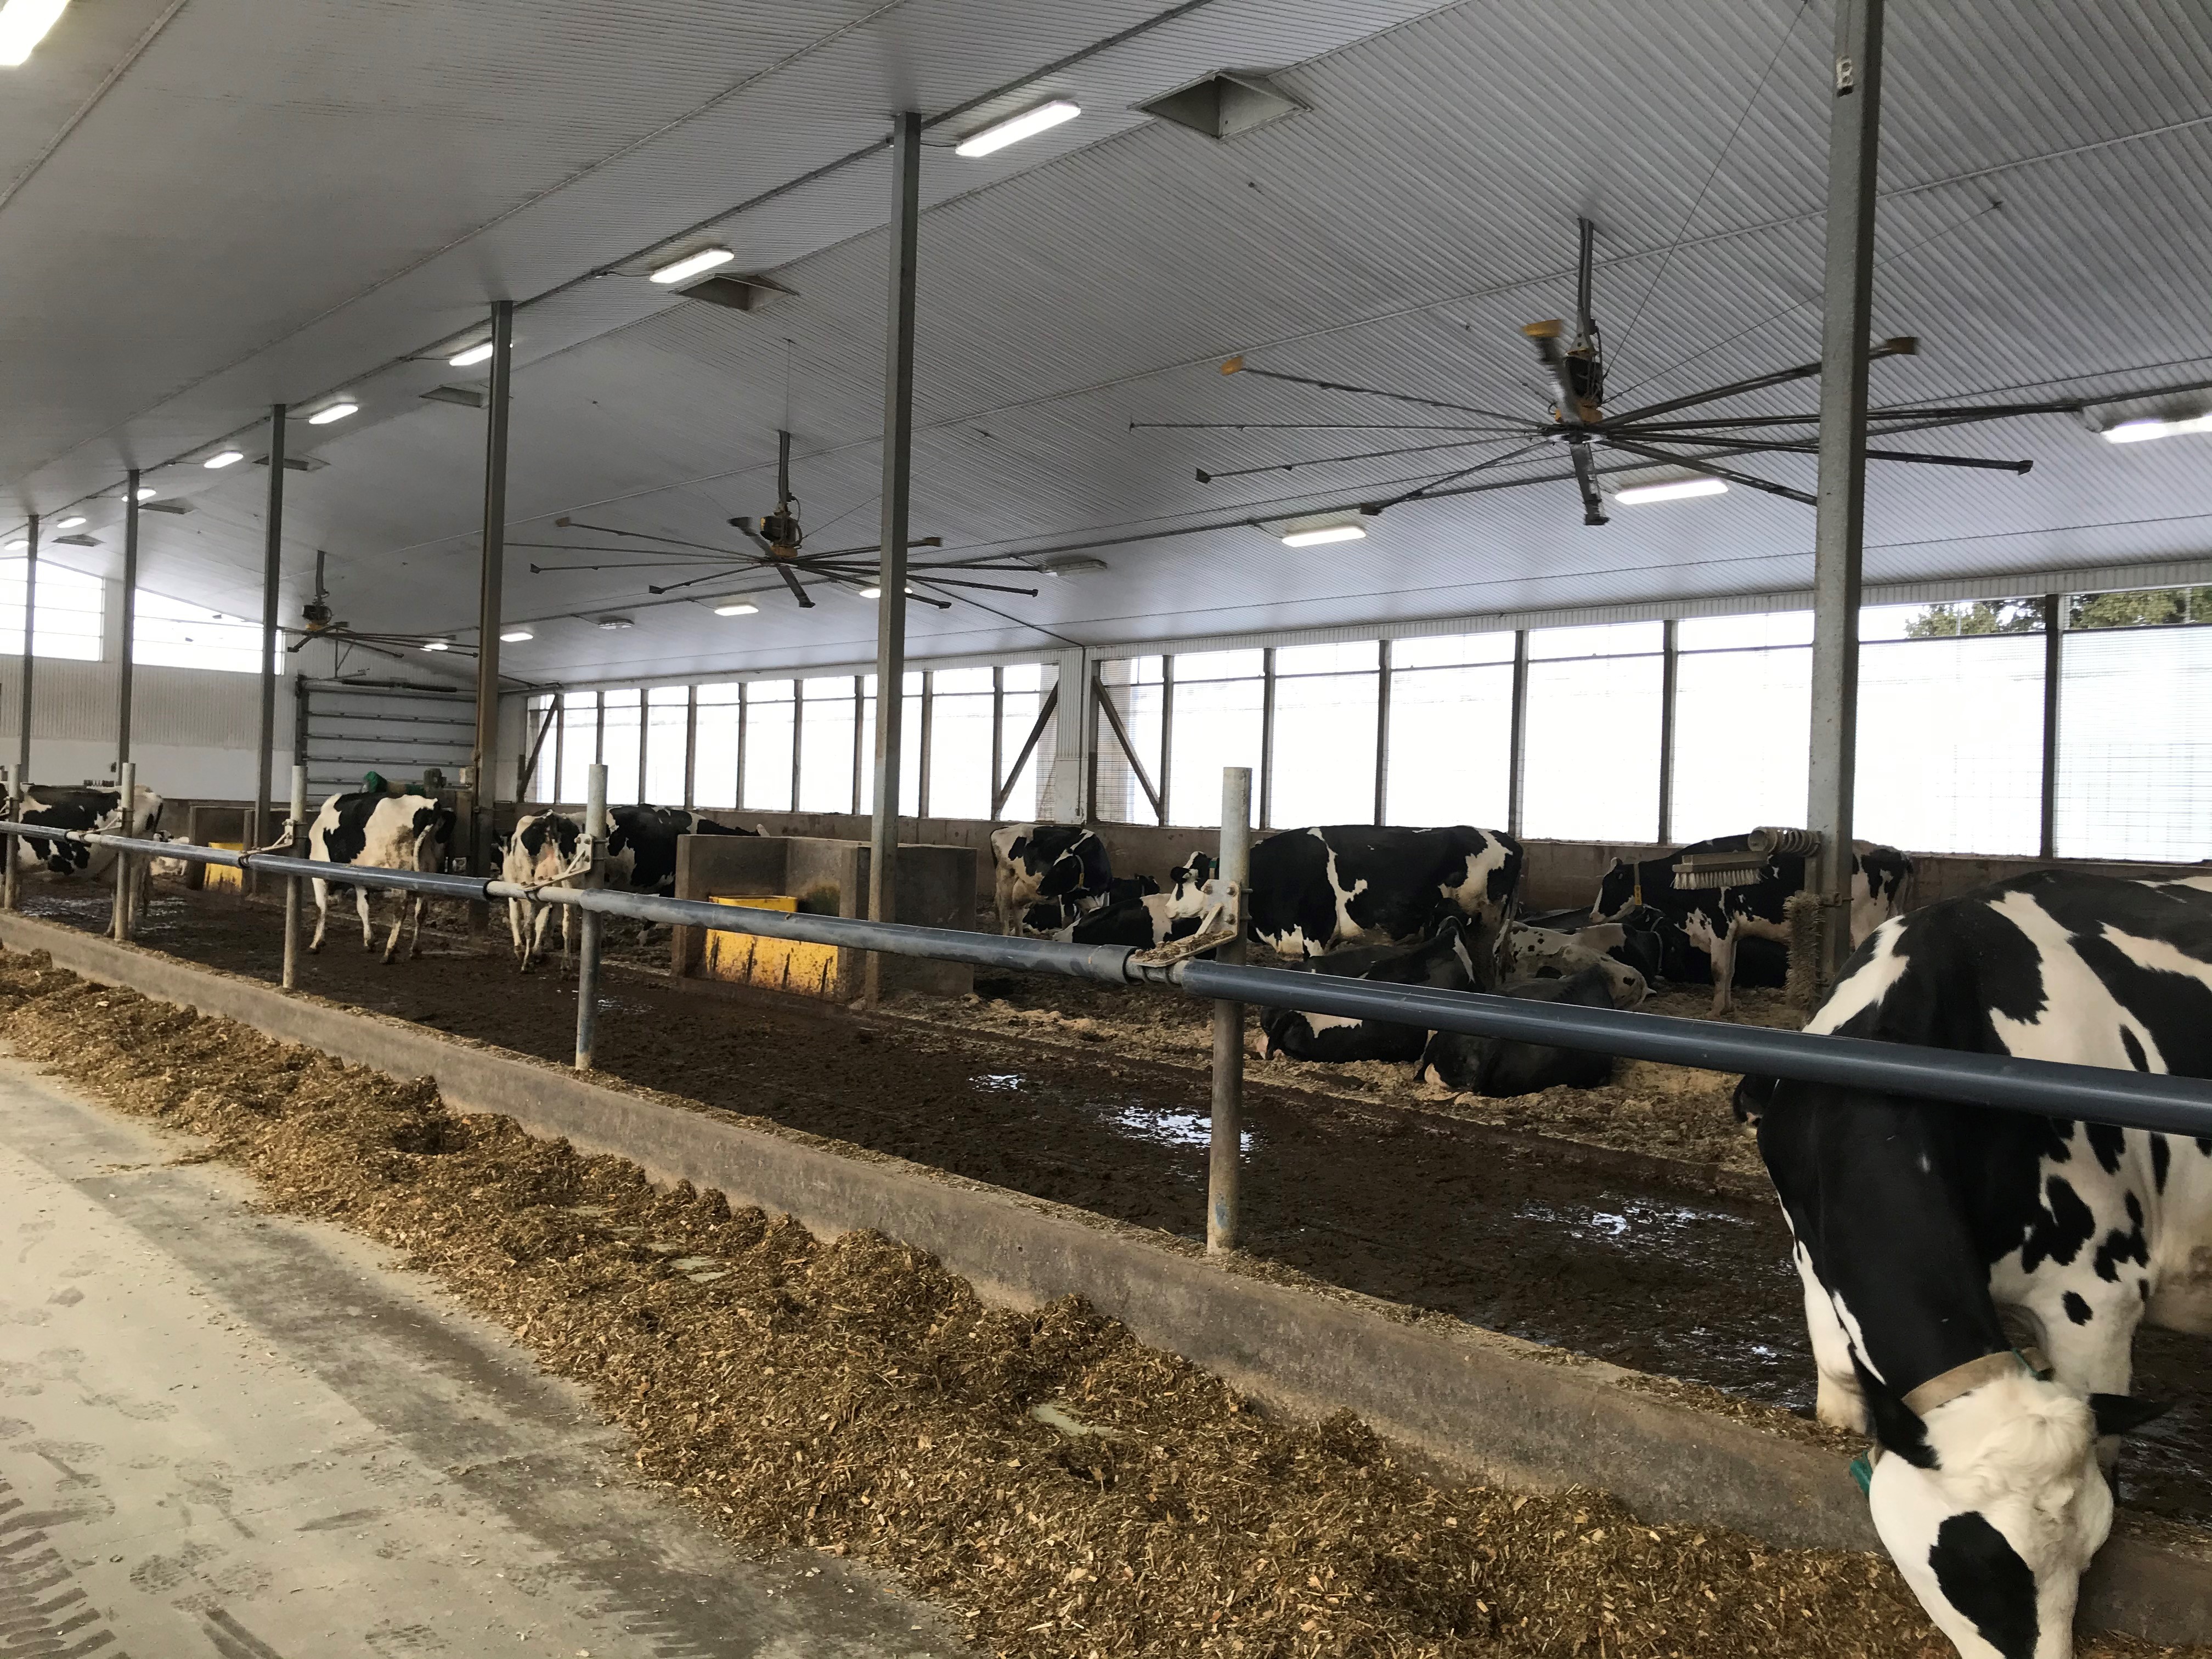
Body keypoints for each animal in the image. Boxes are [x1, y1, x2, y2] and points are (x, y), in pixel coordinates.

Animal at [305, 796, 455, 969]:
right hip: (429, 873)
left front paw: (316, 943)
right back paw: (415, 950)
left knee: (400, 911)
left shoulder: (319, 874)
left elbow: (321, 907)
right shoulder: (360, 879)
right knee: (421, 912)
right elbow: (363, 908)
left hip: (401, 874)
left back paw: (389, 952)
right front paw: (369, 941)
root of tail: (430, 805)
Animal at [995, 827, 1115, 938]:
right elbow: (1066, 923)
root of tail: (1003, 829)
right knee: (1004, 910)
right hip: (1005, 879)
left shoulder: (1105, 896)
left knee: (1018, 911)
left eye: (1059, 870)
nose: (1039, 890)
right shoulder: (1066, 899)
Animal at [1593, 832, 1920, 1013]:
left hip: (1866, 920)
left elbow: (1718, 970)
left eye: (1608, 885)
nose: (1593, 915)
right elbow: (1730, 971)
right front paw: (1727, 1007)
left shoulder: (1719, 925)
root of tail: (1897, 854)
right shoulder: (1734, 932)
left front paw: (1715, 1010)